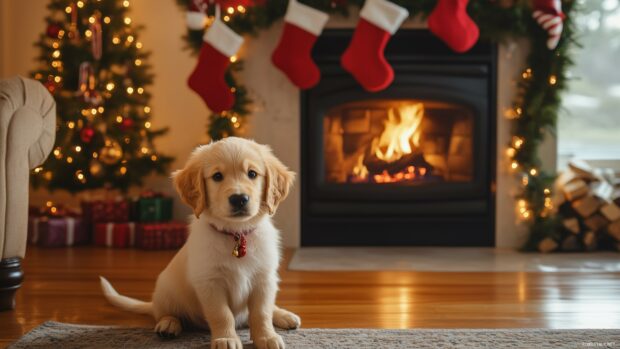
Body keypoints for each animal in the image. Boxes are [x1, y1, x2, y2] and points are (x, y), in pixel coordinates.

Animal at [99, 137, 300, 348]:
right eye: (217, 176)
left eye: (252, 173)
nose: (239, 199)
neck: (235, 234)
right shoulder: (210, 282)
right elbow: (222, 314)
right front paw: (226, 338)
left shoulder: (264, 279)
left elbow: (262, 313)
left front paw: (267, 337)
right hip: (166, 290)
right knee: (164, 313)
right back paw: (168, 324)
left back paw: (284, 315)